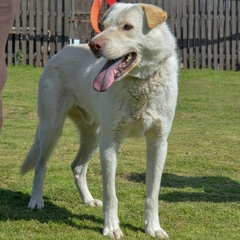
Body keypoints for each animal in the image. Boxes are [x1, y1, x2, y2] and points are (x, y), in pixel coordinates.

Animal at [20, 2, 178, 239]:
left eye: (127, 27)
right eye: (103, 26)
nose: (94, 44)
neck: (140, 82)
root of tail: (64, 49)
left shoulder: (158, 142)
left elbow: (153, 193)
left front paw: (153, 227)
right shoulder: (110, 143)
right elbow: (111, 194)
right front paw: (111, 228)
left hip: (93, 138)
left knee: (77, 167)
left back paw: (87, 200)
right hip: (52, 128)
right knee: (41, 164)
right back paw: (36, 200)